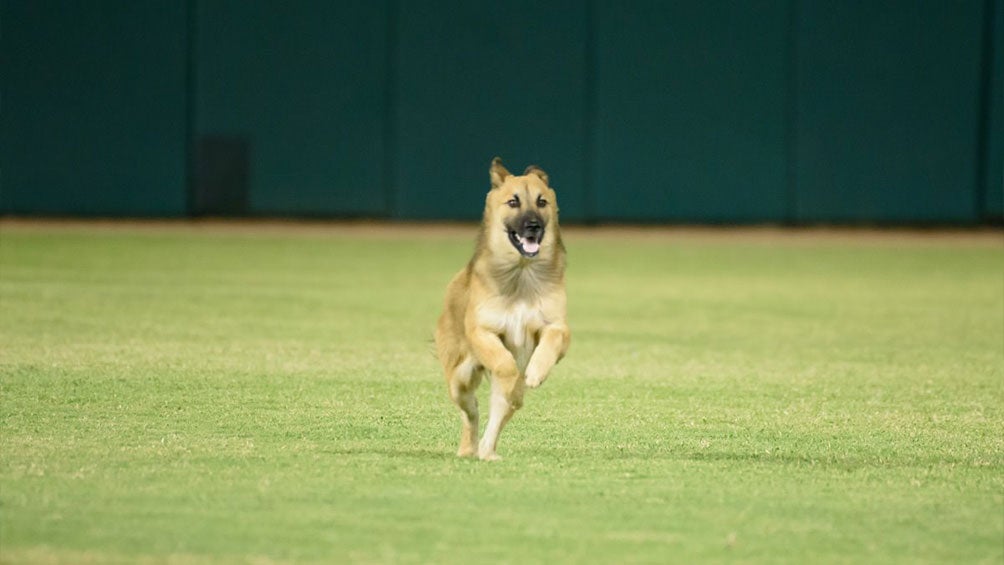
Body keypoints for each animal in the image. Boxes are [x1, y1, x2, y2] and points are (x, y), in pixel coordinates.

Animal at [433, 156, 570, 461]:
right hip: (459, 379)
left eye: (542, 202)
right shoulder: (483, 331)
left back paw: (487, 451)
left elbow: (550, 343)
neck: (521, 273)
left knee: (496, 417)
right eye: (513, 202)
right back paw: (469, 447)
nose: (533, 225)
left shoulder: (557, 327)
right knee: (471, 412)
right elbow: (505, 365)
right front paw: (517, 385)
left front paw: (535, 373)